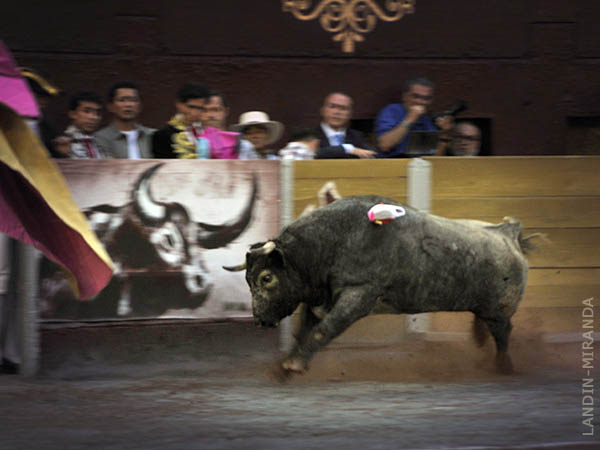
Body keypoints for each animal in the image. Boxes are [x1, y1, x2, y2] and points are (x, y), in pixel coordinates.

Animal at [225, 197, 536, 376]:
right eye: (249, 279)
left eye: (267, 278)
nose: (259, 320)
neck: (328, 243)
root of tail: (509, 234)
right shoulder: (319, 299)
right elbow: (304, 331)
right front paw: (291, 362)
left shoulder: (357, 296)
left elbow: (323, 330)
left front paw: (296, 365)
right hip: (484, 308)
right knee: (487, 326)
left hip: (499, 311)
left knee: (503, 334)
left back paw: (503, 367)